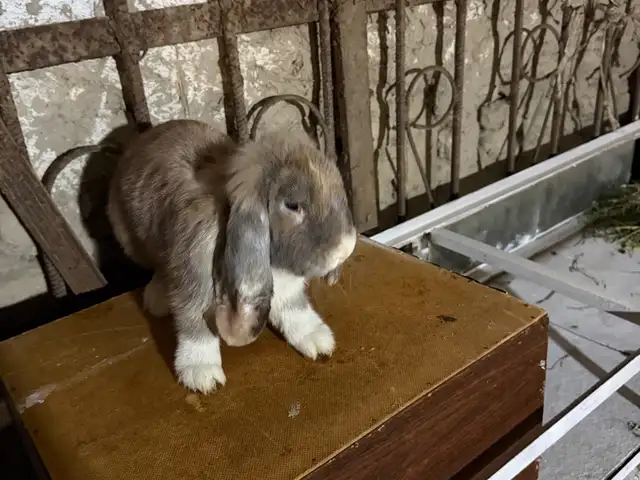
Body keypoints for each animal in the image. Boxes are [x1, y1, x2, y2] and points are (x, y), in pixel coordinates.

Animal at [107, 119, 357, 394]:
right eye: (292, 205)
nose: (346, 248)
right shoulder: (194, 282)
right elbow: (195, 323)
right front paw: (201, 374)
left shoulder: (286, 287)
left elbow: (295, 308)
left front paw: (316, 339)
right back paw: (157, 300)